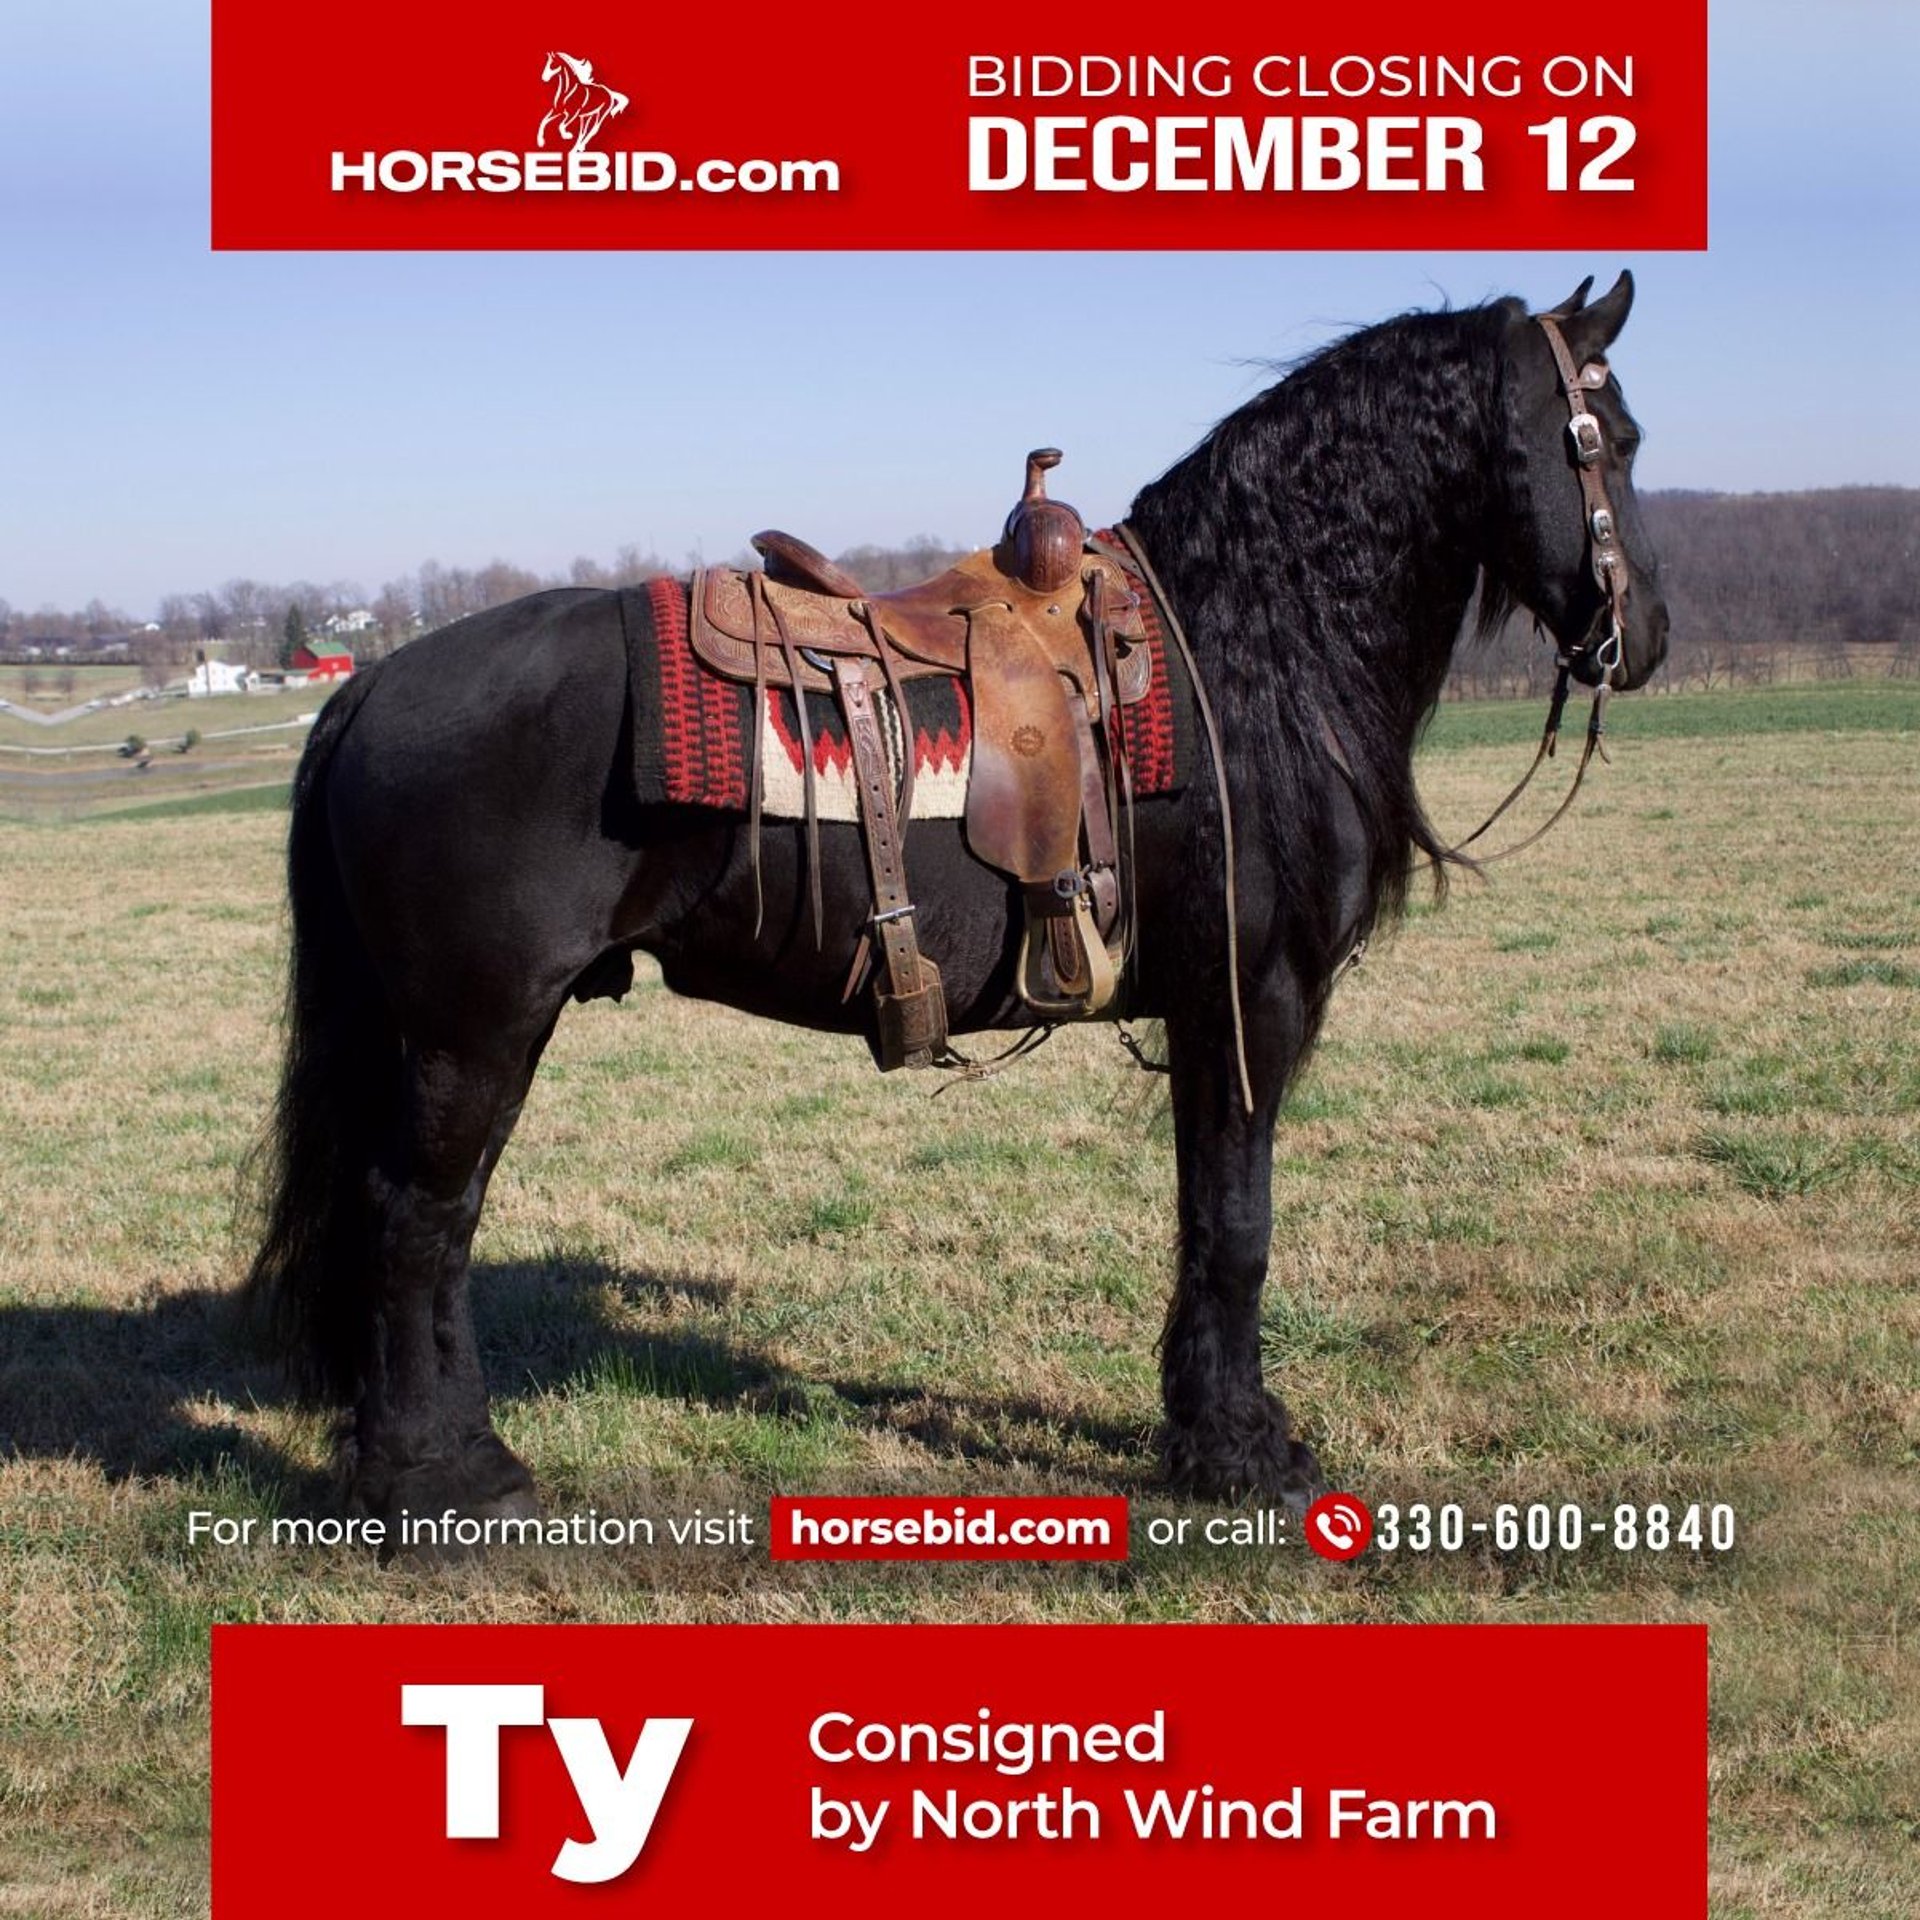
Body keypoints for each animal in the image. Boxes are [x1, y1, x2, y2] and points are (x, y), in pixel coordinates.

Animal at [244, 273, 1668, 1526]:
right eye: (1607, 437)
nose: (1643, 637)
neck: (1249, 650)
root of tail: (372, 689)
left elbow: (1205, 1216)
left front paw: (1204, 1428)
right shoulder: (1249, 1004)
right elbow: (1236, 1224)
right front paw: (1241, 1450)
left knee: (433, 1228)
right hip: (472, 1029)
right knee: (415, 1224)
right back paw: (440, 1482)